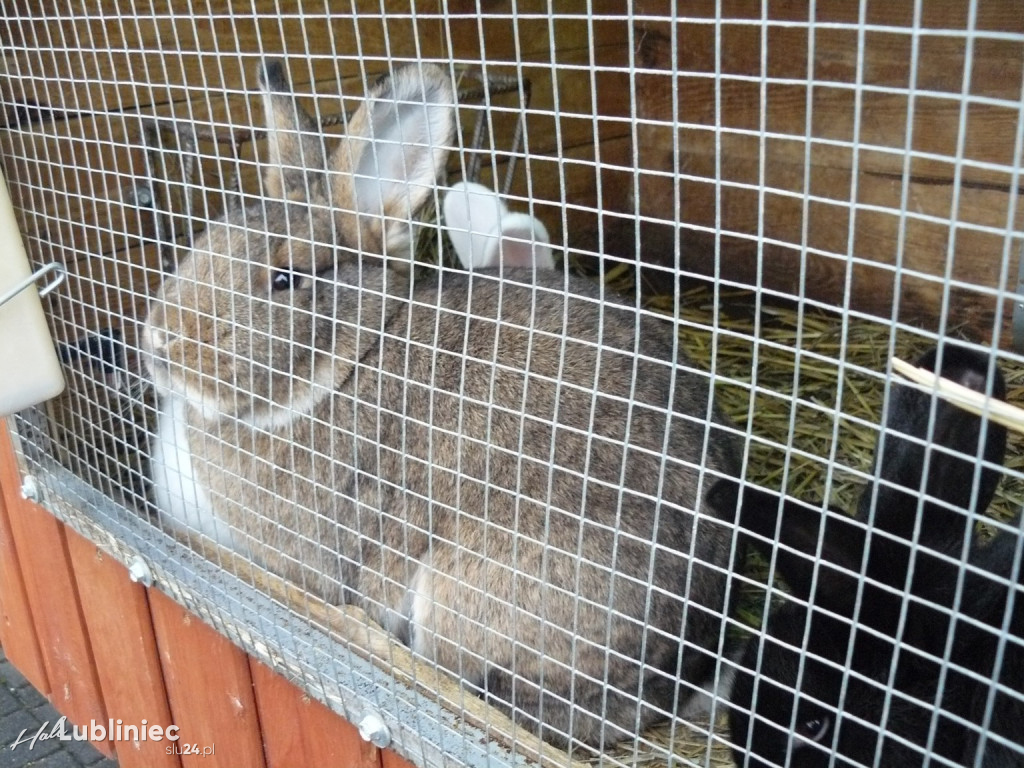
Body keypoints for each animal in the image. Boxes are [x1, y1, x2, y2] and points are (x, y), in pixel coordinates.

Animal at [140, 61, 741, 753]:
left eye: (286, 280)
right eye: (208, 239)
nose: (160, 342)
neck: (352, 362)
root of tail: (680, 675)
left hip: (473, 596)